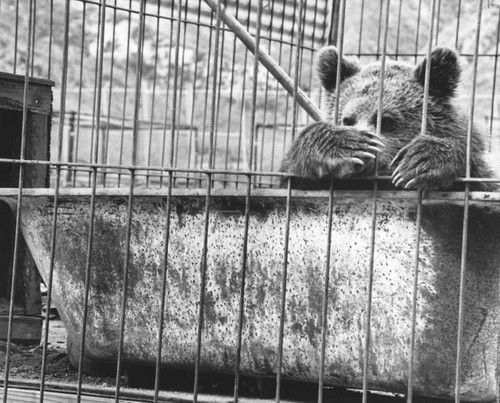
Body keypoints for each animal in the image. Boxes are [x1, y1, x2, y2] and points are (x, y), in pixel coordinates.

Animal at [280, 46, 494, 192]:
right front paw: (346, 145)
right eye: (347, 120)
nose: (368, 154)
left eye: (387, 120)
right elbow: (292, 176)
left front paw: (419, 161)